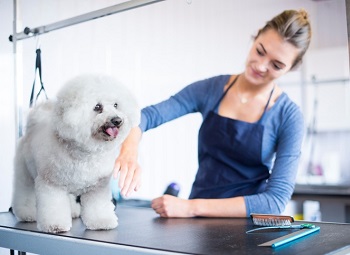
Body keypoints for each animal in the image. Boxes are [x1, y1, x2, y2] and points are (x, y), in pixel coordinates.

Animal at [11, 73, 139, 233]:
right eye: (98, 107)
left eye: (116, 105)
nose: (117, 120)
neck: (84, 153)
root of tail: (33, 126)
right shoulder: (52, 184)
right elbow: (54, 207)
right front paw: (55, 225)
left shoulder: (97, 187)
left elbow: (98, 207)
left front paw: (101, 222)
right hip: (25, 174)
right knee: (24, 192)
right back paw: (27, 213)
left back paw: (72, 211)